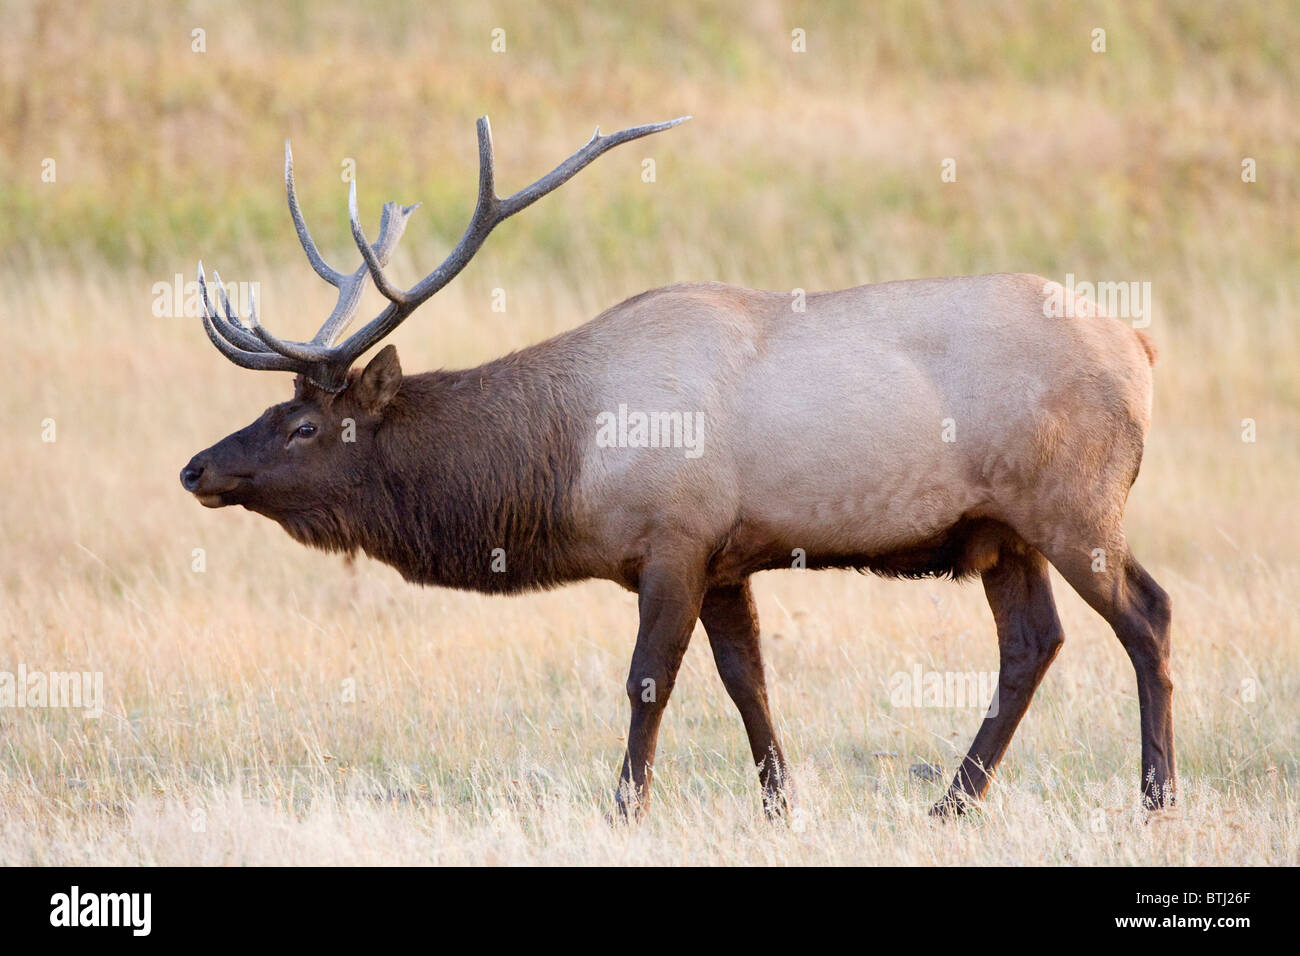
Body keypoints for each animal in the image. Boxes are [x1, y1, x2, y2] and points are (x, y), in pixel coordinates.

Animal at [181, 115, 1174, 820]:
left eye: (303, 425)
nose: (197, 468)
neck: (566, 464)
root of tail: (1139, 343)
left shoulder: (674, 540)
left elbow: (648, 680)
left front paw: (624, 806)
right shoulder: (730, 558)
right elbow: (749, 683)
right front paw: (779, 806)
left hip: (1073, 505)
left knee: (1147, 614)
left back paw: (1155, 796)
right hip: (1002, 532)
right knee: (1032, 644)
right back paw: (950, 804)